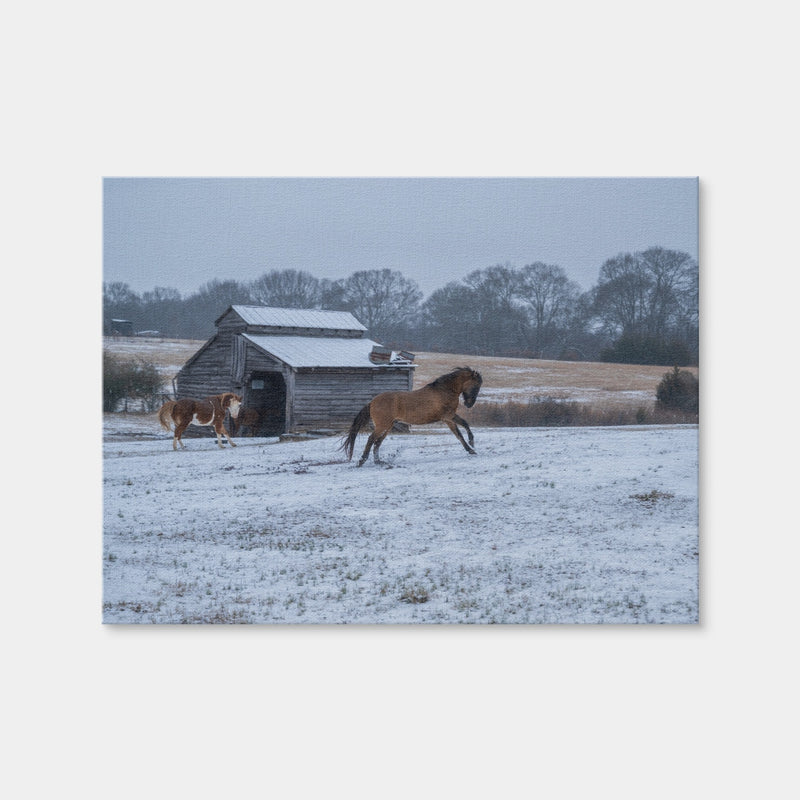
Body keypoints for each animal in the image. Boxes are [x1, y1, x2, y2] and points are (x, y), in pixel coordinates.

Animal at [341, 367, 482, 466]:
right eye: (476, 385)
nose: (469, 404)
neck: (444, 391)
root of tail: (372, 402)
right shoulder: (449, 416)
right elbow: (463, 426)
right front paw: (471, 444)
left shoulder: (448, 419)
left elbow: (460, 432)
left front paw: (471, 448)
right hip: (382, 426)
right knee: (371, 439)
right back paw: (362, 461)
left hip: (388, 426)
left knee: (377, 442)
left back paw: (378, 461)